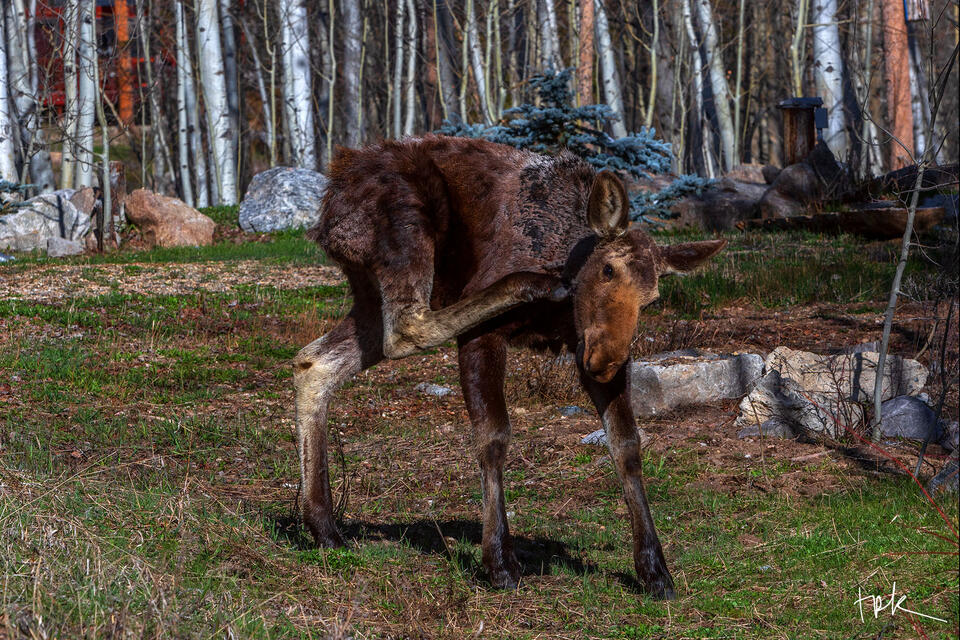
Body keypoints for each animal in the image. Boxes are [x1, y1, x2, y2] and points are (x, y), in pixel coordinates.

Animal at [294, 134, 725, 599]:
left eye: (652, 297)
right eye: (608, 269)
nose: (606, 363)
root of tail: (330, 197)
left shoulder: (585, 346)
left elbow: (627, 445)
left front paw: (653, 569)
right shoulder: (486, 336)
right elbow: (494, 437)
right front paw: (499, 560)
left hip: (368, 294)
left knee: (314, 362)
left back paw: (324, 526)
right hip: (407, 221)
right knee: (409, 325)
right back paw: (531, 283)